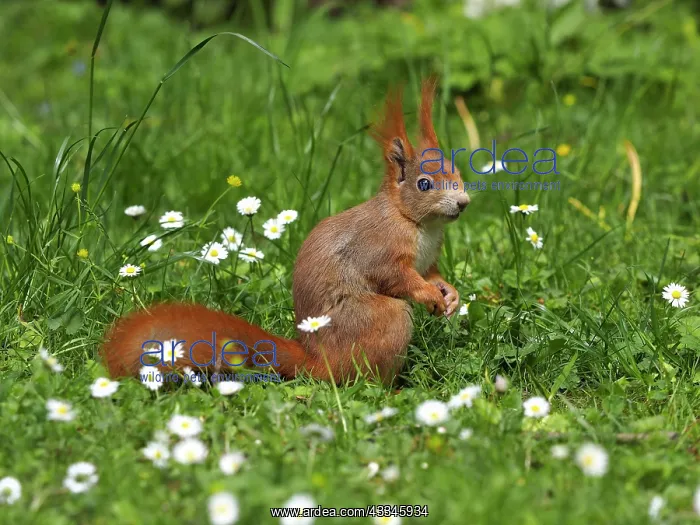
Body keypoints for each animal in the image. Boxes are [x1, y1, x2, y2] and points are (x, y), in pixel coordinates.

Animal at [101, 79, 470, 384]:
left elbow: (431, 273)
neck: (417, 223)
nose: (464, 202)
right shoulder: (379, 246)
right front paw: (428, 295)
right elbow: (395, 276)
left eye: (457, 171)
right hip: (385, 320)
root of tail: (320, 362)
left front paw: (449, 295)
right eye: (424, 184)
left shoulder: (427, 258)